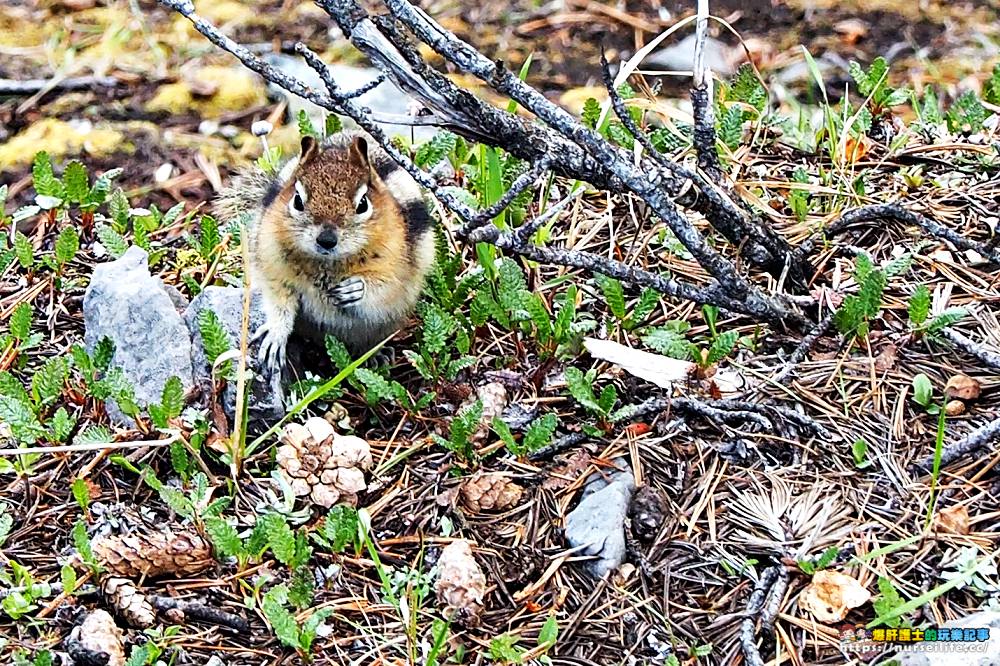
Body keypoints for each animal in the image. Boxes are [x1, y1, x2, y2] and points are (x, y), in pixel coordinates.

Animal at [217, 130, 436, 376]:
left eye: (363, 203)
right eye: (297, 200)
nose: (327, 240)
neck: (327, 264)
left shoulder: (395, 270)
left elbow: (384, 287)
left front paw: (355, 288)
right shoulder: (275, 268)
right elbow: (278, 304)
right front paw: (275, 336)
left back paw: (376, 356)